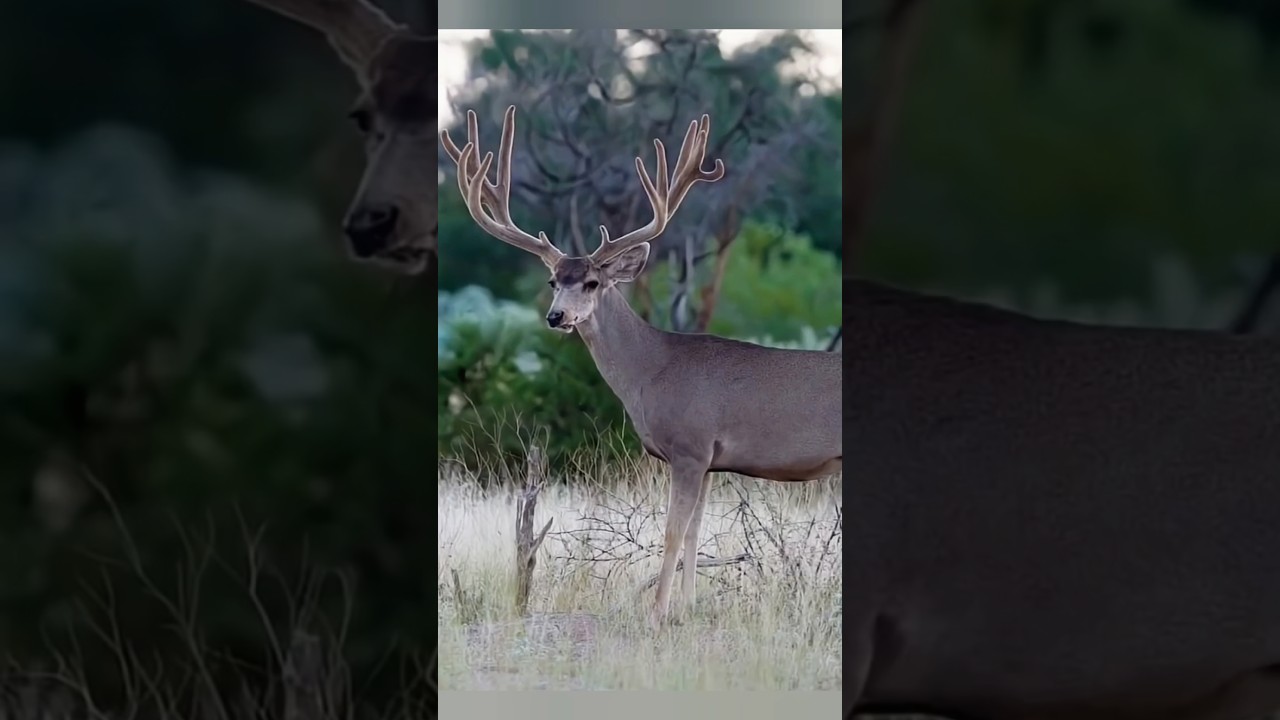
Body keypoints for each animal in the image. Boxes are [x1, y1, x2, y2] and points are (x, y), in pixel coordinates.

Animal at [439, 106, 842, 629]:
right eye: (553, 280)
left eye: (592, 282)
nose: (556, 317)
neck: (653, 370)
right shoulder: (709, 461)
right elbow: (694, 534)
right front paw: (687, 610)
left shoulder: (690, 446)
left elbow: (672, 532)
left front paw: (657, 614)